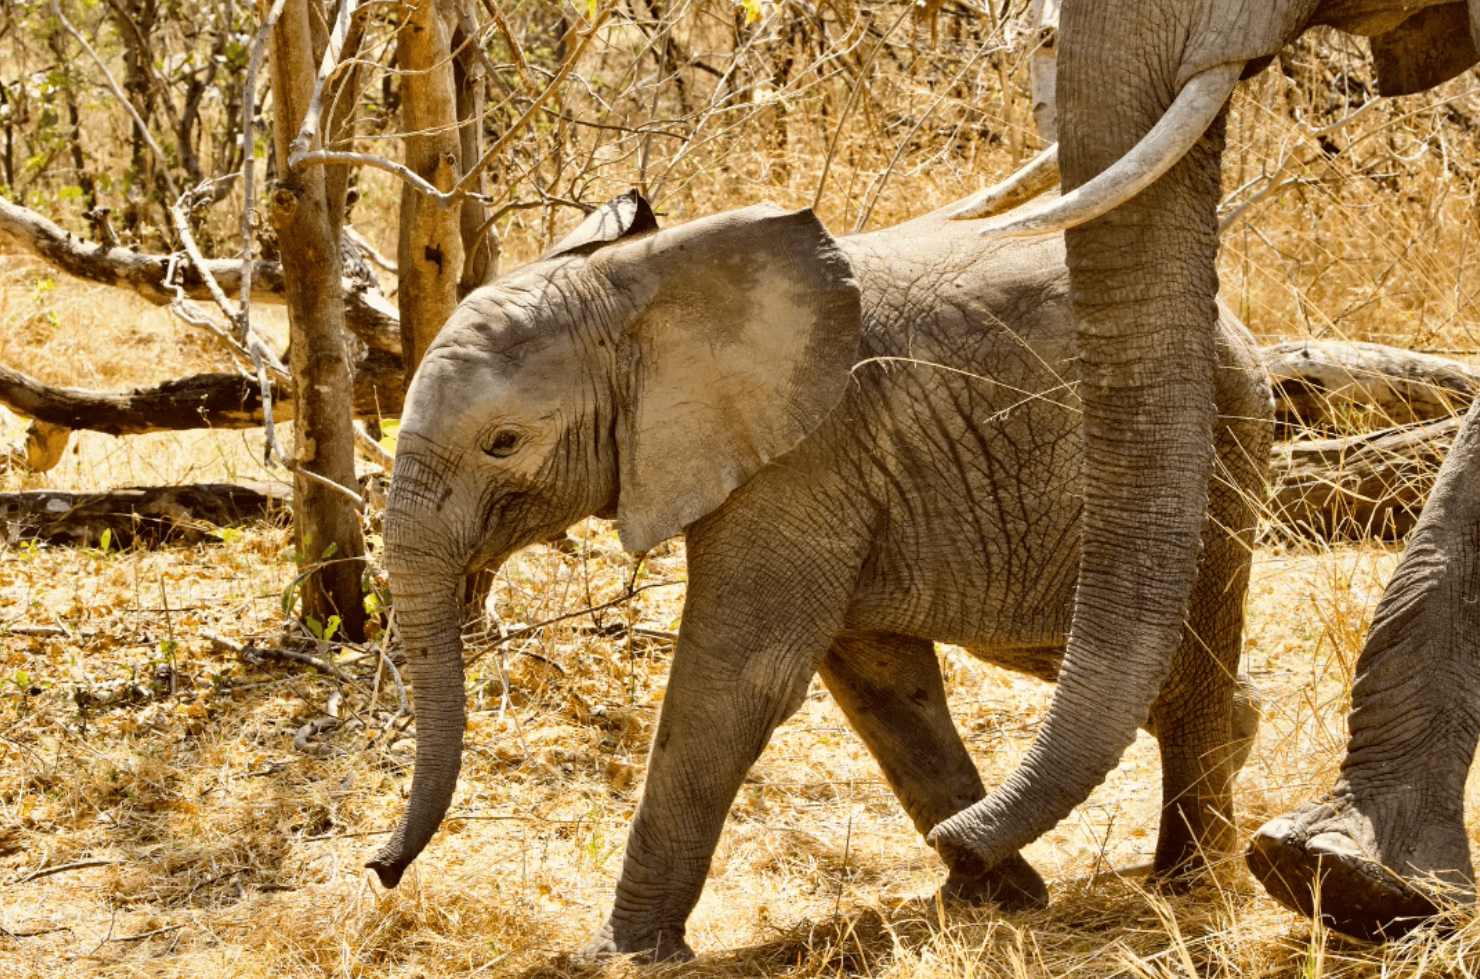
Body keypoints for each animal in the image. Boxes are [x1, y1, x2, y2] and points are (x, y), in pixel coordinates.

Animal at [363, 190, 1273, 960]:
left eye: (503, 443)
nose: (379, 867)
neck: (635, 286)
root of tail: (1238, 327)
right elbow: (880, 679)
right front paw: (993, 897)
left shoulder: (810, 452)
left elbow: (738, 679)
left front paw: (619, 956)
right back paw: (1236, 740)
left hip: (1217, 447)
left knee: (1182, 654)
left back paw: (1187, 881)